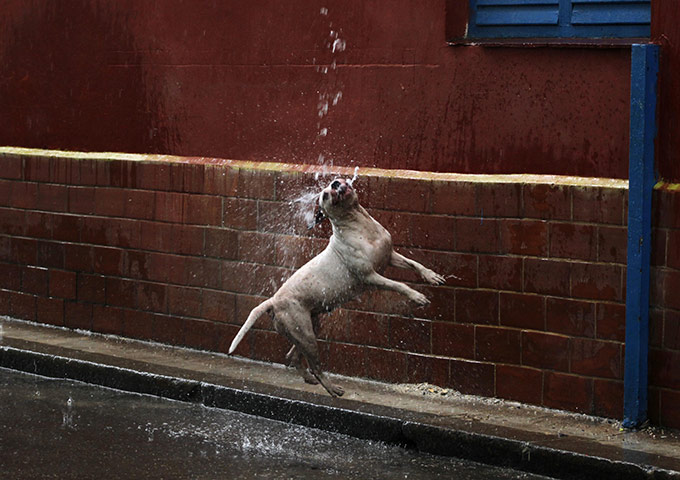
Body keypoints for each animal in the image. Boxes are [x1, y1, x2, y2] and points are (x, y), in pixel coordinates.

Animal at [228, 178, 446, 396]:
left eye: (335, 181)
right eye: (325, 195)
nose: (334, 183)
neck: (360, 225)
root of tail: (272, 301)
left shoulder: (390, 256)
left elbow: (414, 264)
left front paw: (431, 276)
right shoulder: (370, 277)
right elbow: (399, 284)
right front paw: (417, 296)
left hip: (310, 327)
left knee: (292, 356)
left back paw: (309, 379)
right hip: (306, 335)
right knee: (315, 365)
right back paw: (332, 388)